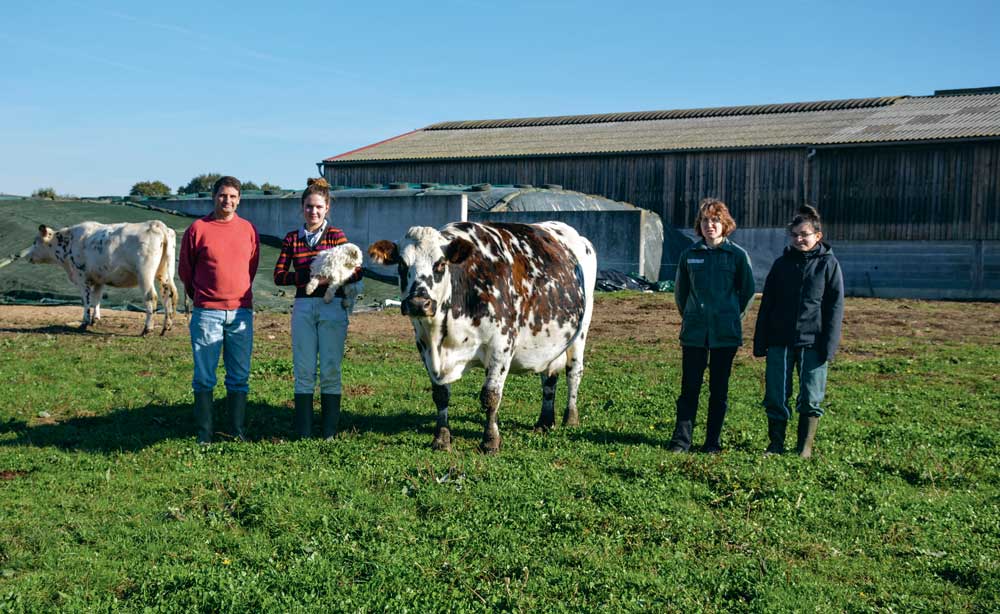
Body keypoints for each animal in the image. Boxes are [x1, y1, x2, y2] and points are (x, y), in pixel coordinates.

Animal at [27, 221, 180, 336]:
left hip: (145, 274)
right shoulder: (99, 279)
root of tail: (156, 224)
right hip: (164, 273)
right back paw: (166, 327)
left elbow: (86, 301)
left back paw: (147, 329)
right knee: (168, 294)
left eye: (35, 242)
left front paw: (85, 322)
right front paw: (95, 319)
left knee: (151, 297)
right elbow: (97, 298)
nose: (28, 256)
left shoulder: (82, 277)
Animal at [372, 221, 596, 452]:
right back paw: (545, 421)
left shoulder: (502, 345)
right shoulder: (424, 346)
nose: (418, 303)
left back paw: (570, 417)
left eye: (440, 264)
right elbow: (441, 395)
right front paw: (441, 438)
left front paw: (490, 441)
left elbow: (491, 396)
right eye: (402, 265)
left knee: (573, 371)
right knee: (549, 376)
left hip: (581, 331)